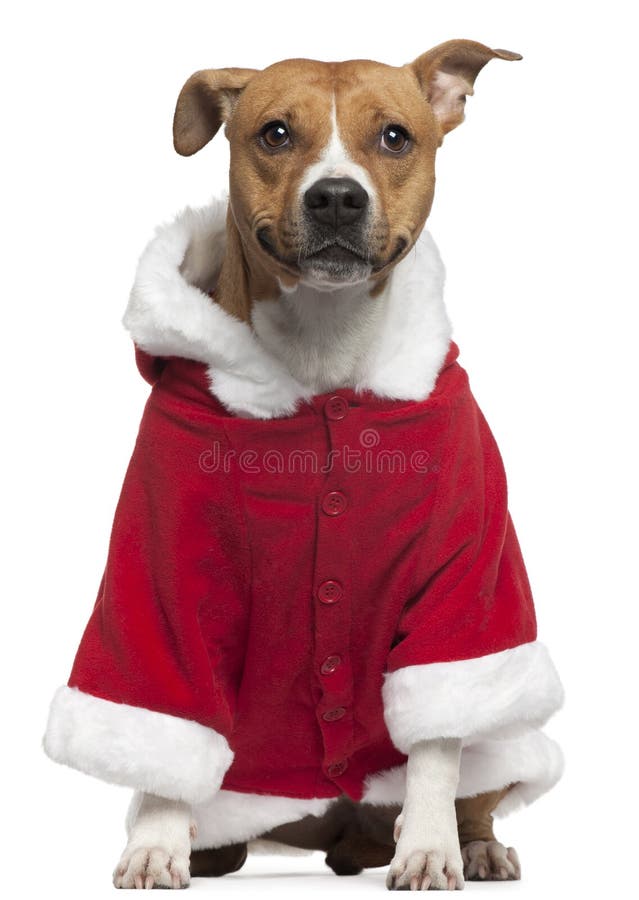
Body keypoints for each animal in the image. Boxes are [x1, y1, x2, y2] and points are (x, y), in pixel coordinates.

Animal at [42, 38, 564, 888]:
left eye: (394, 137)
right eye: (275, 133)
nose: (336, 198)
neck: (324, 348)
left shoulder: (462, 575)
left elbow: (434, 741)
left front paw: (428, 848)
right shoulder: (164, 565)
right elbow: (163, 712)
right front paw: (156, 842)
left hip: (504, 736)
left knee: (478, 779)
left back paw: (472, 842)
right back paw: (207, 842)